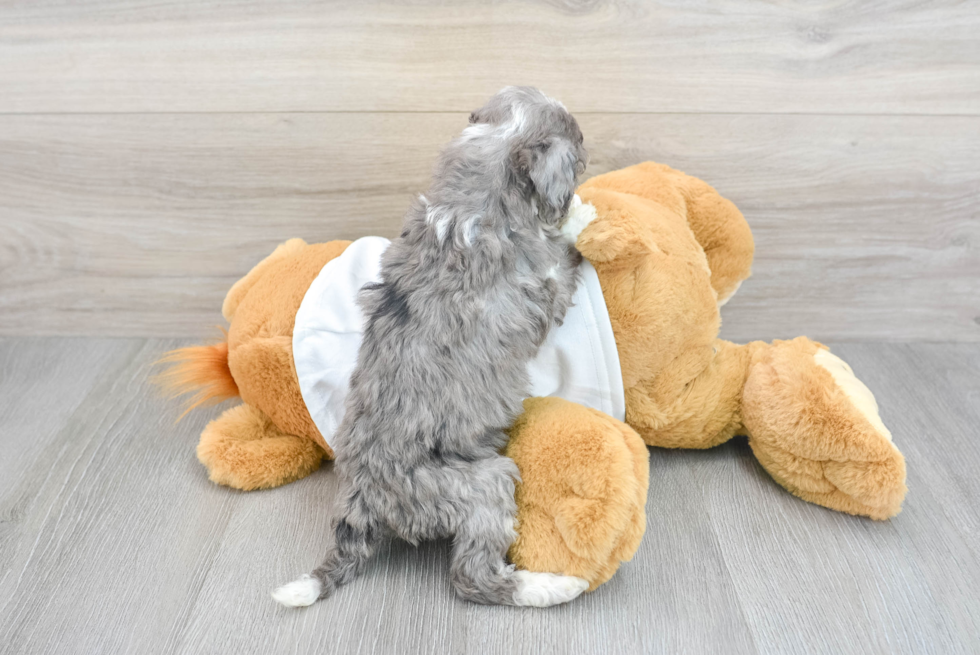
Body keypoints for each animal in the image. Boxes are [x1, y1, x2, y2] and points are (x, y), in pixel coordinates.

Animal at [272, 87, 588, 608]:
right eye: (577, 139)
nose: (587, 149)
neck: (467, 207)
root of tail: (361, 503)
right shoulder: (543, 291)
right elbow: (562, 262)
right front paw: (581, 219)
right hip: (482, 482)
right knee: (473, 576)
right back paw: (551, 586)